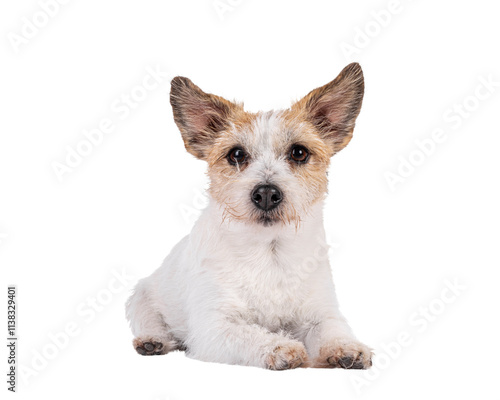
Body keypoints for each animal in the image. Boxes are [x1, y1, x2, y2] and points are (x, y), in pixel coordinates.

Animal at [127, 61, 374, 368]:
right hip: (140, 296)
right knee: (150, 320)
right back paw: (153, 340)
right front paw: (280, 347)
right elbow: (249, 334)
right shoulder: (215, 328)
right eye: (236, 154)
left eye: (299, 152)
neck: (269, 253)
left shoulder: (321, 313)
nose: (266, 193)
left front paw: (346, 347)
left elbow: (332, 328)